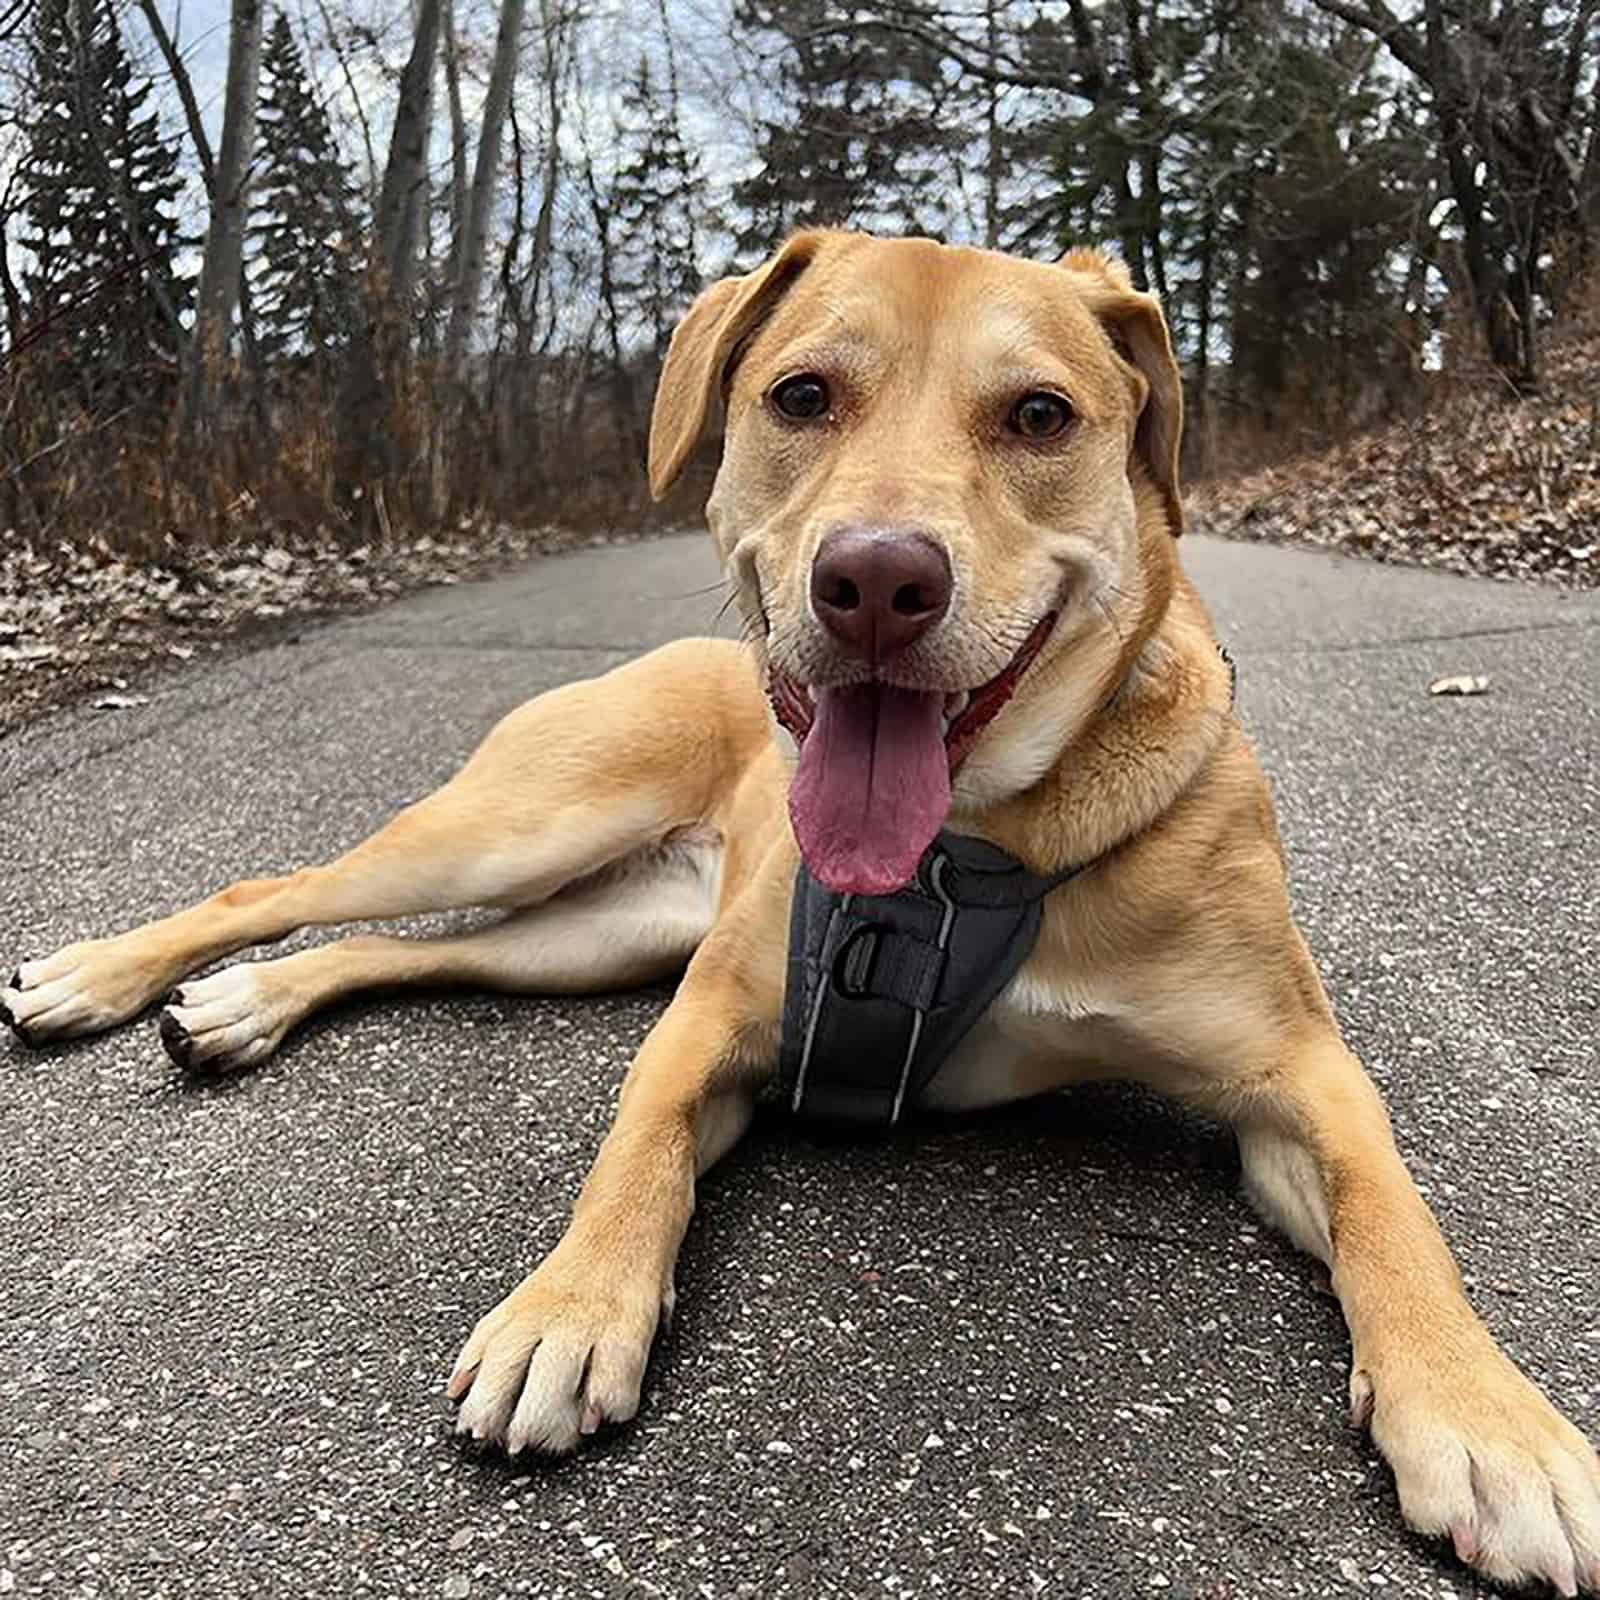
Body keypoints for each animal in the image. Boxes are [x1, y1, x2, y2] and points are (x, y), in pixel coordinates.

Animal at [3, 232, 1600, 1593]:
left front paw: (1489, 1421)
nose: (876, 580)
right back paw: (111, 974)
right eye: (802, 395)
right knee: (279, 888)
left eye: (1039, 416)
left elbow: (1398, 1219)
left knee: (393, 951)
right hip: (517, 829)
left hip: (583, 938)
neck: (972, 851)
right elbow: (635, 1151)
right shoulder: (711, 1017)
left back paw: (244, 1005)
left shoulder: (1301, 1079)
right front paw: (567, 1309)